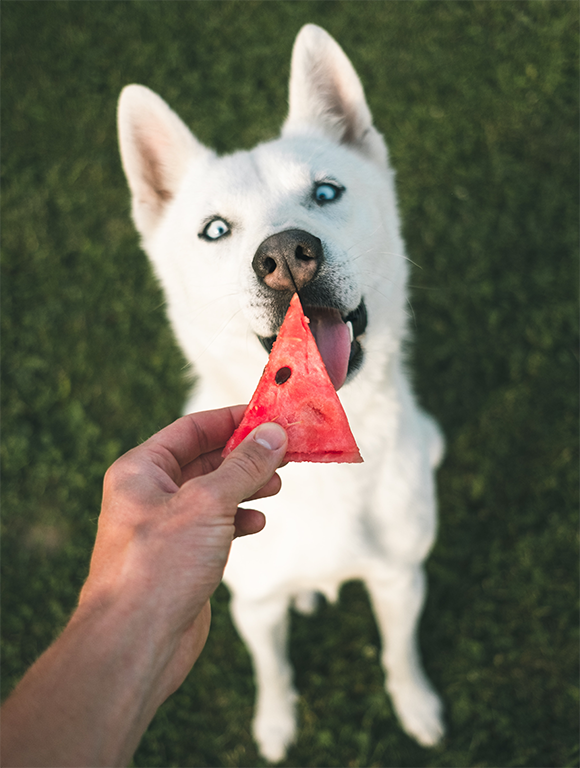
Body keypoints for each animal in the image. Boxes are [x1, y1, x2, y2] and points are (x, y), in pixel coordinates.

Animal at [116, 24, 444, 760]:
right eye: (215, 229)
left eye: (325, 192)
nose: (287, 253)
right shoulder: (254, 606)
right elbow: (274, 671)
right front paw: (275, 726)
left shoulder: (400, 581)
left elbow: (399, 654)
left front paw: (415, 706)